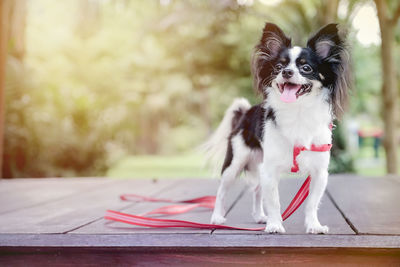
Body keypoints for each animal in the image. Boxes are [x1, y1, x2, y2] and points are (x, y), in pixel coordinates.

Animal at [203, 24, 350, 236]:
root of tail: (245, 113)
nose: (287, 72)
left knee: (257, 191)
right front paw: (274, 225)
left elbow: (311, 203)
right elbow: (274, 201)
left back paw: (259, 216)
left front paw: (314, 225)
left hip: (257, 165)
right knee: (222, 191)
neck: (298, 112)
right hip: (235, 163)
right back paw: (217, 217)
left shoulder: (319, 173)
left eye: (306, 68)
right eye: (279, 67)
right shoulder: (270, 170)